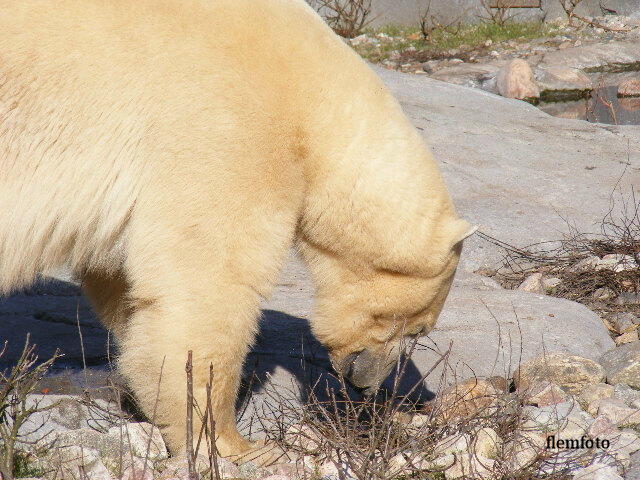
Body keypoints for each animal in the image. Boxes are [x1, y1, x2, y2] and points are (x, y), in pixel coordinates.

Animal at [1, 0, 476, 464]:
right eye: (416, 328)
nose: (367, 385)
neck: (312, 94)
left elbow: (128, 287)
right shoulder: (231, 128)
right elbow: (208, 283)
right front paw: (236, 445)